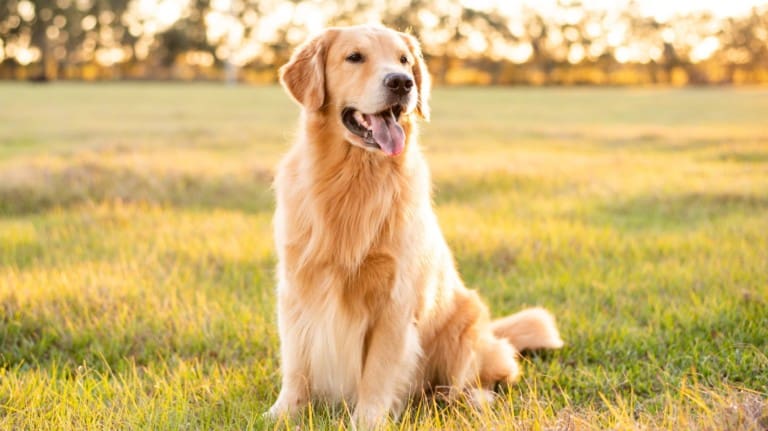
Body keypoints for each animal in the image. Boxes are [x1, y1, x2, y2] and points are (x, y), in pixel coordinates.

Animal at [268, 26, 560, 428]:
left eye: (404, 60)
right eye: (354, 57)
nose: (401, 83)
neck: (353, 179)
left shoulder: (395, 300)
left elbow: (377, 372)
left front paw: (368, 420)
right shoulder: (297, 288)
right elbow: (296, 363)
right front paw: (282, 413)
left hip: (466, 323)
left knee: (486, 376)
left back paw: (468, 399)